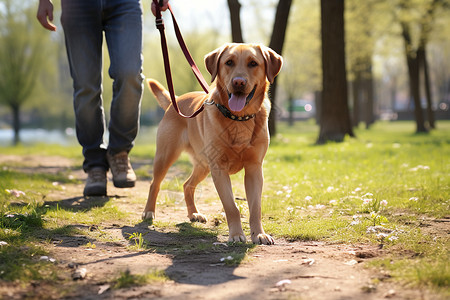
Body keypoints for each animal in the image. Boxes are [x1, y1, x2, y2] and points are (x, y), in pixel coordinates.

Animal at [143, 42, 282, 244]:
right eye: (229, 62)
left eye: (253, 63)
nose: (238, 82)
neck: (239, 118)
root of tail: (175, 100)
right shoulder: (219, 169)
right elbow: (231, 206)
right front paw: (236, 234)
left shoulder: (254, 169)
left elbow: (255, 207)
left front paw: (259, 234)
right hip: (166, 156)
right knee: (155, 183)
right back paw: (148, 211)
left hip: (203, 165)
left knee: (187, 185)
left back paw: (194, 213)